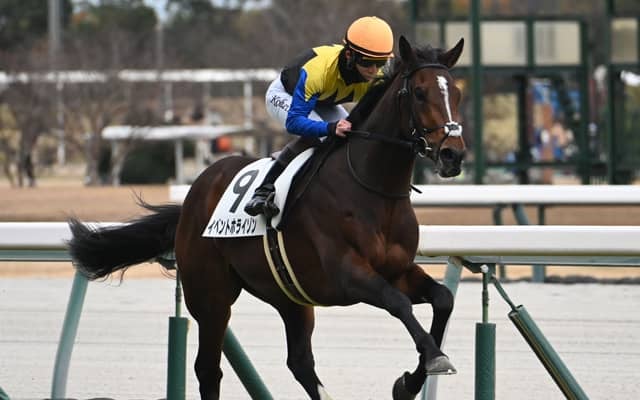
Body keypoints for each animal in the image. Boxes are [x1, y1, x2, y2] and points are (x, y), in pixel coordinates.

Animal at [67, 35, 466, 400]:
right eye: (419, 93)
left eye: (457, 94)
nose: (453, 155)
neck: (373, 191)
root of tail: (194, 196)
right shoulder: (349, 275)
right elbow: (397, 303)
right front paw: (432, 359)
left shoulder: (398, 270)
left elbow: (443, 298)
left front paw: (410, 381)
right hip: (210, 296)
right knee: (208, 369)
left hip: (289, 295)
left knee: (300, 362)